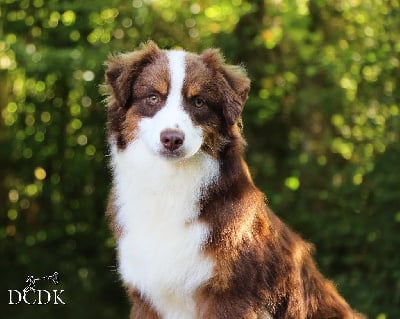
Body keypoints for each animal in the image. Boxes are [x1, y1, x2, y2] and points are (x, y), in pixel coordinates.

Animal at [104, 42, 366, 319]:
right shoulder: (146, 298)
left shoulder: (232, 296)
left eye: (198, 102)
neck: (170, 186)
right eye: (153, 97)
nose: (172, 139)